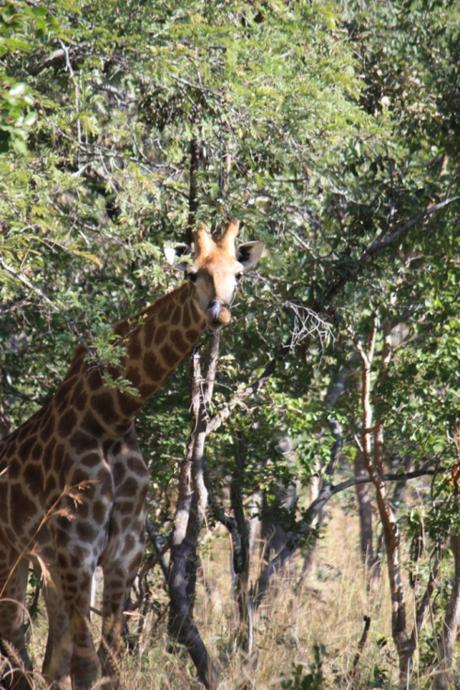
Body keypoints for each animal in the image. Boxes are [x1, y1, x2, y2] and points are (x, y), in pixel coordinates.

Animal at [0, 222, 262, 688]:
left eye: (238, 273)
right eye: (191, 273)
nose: (218, 313)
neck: (111, 417)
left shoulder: (122, 553)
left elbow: (111, 663)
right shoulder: (78, 550)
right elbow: (87, 667)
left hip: (36, 560)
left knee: (39, 652)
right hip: (11, 552)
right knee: (16, 639)